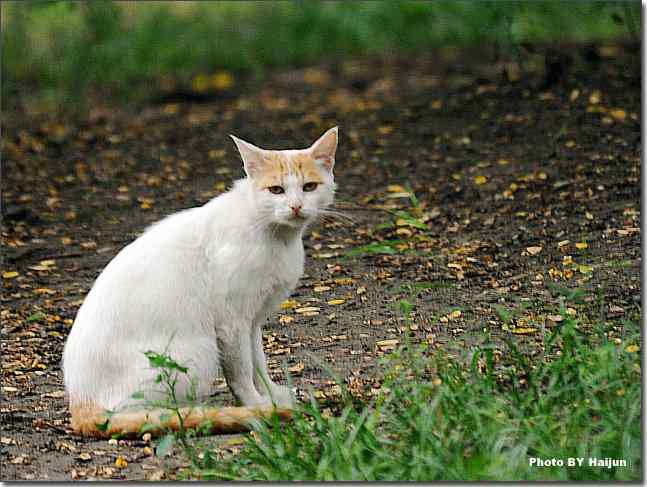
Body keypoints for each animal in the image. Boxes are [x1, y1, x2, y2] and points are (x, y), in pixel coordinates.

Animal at [63, 127, 342, 436]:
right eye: (276, 190)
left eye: (309, 187)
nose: (295, 206)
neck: (277, 235)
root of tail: (80, 403)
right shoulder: (231, 322)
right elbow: (242, 370)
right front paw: (255, 404)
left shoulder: (253, 321)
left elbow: (258, 361)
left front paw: (271, 394)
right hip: (201, 350)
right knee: (145, 414)